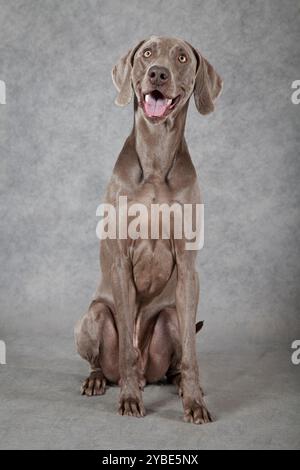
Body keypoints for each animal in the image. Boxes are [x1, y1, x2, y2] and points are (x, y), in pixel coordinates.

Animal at [75, 35, 223, 424]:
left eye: (182, 57)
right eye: (147, 53)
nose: (158, 73)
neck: (156, 157)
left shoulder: (188, 269)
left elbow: (191, 352)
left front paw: (195, 403)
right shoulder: (121, 263)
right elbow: (126, 346)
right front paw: (128, 399)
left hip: (170, 317)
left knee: (175, 356)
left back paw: (179, 384)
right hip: (91, 318)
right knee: (104, 360)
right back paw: (100, 380)